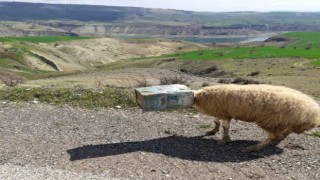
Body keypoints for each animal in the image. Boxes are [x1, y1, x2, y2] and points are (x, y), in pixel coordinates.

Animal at [192, 84, 320, 152]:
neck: (198, 96)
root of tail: (314, 113)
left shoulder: (224, 112)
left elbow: (225, 127)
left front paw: (224, 140)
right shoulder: (223, 112)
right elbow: (216, 121)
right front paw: (214, 130)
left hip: (271, 121)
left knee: (273, 137)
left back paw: (252, 148)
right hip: (284, 123)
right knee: (283, 134)